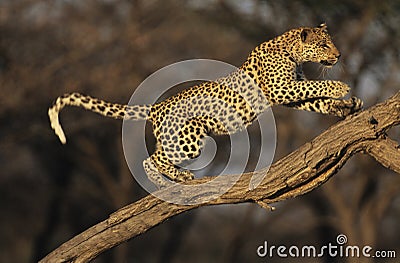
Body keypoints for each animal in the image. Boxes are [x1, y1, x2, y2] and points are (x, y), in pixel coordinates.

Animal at [49, 22, 362, 188]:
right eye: (323, 45)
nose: (339, 55)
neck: (291, 52)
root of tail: (157, 107)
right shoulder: (280, 89)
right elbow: (316, 87)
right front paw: (341, 88)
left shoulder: (290, 93)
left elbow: (317, 101)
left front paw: (346, 106)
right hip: (189, 140)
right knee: (150, 159)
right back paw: (168, 179)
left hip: (178, 139)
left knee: (157, 156)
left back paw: (174, 177)